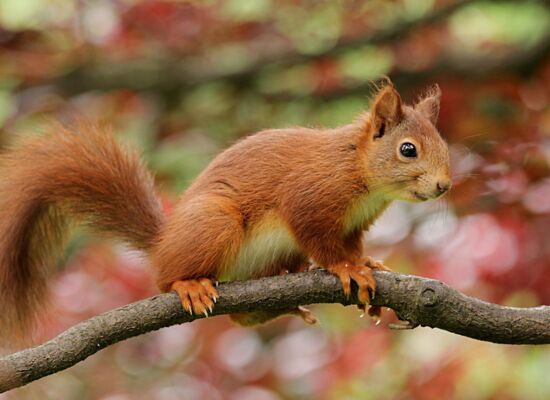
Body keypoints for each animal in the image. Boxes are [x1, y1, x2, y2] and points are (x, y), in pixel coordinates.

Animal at [0, 83, 450, 340]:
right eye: (407, 149)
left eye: (443, 143)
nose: (444, 185)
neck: (358, 168)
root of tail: (163, 242)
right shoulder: (309, 196)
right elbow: (318, 239)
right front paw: (348, 269)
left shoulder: (353, 225)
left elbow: (351, 245)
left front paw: (367, 263)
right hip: (214, 222)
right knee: (166, 278)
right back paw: (189, 284)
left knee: (241, 318)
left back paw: (283, 300)